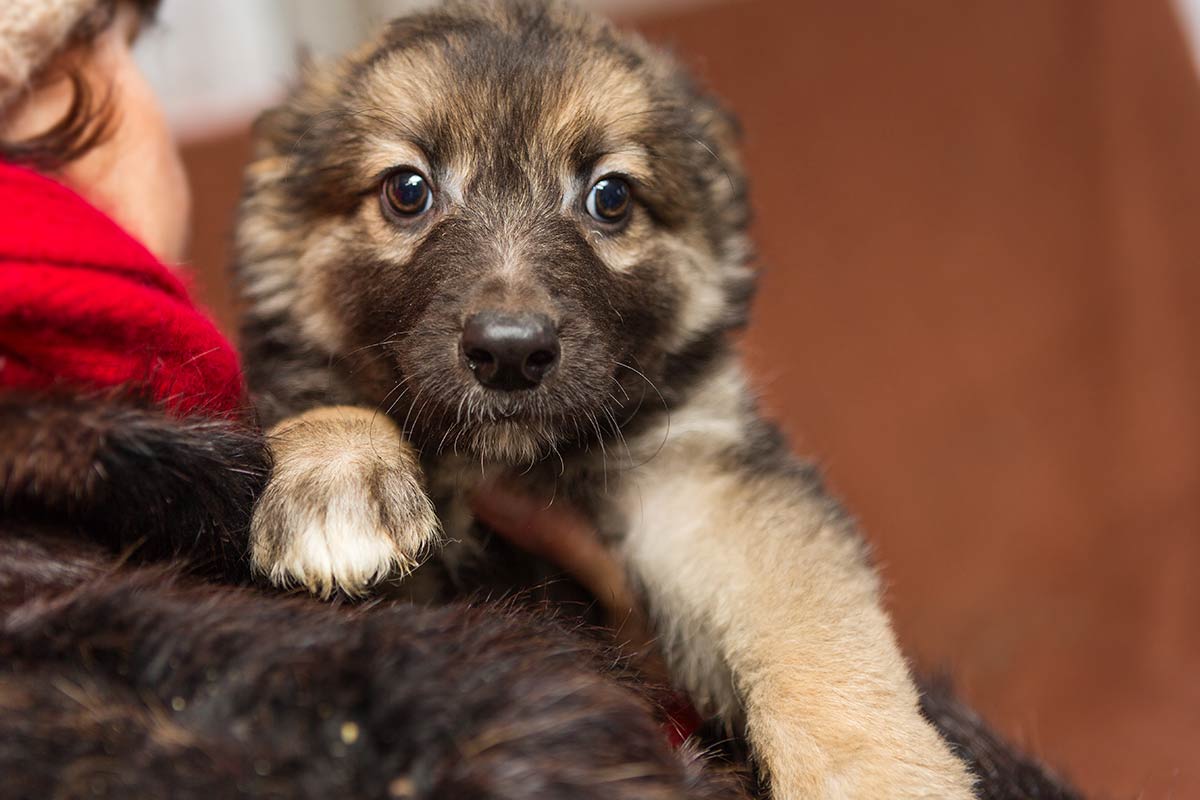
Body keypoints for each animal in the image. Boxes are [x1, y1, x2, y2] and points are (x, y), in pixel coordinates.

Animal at [234, 3, 974, 796]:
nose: (510, 353)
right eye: (407, 190)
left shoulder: (700, 490)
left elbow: (810, 634)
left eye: (610, 197)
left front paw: (879, 774)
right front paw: (339, 473)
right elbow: (319, 392)